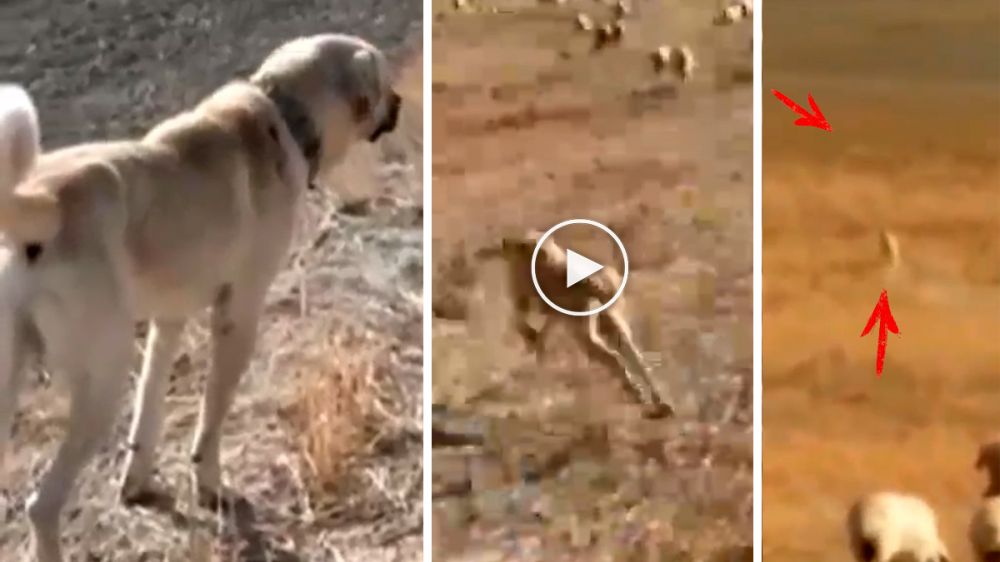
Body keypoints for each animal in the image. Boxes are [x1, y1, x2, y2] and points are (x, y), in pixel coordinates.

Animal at [0, 32, 402, 560]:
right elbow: (212, 418)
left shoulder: (166, 324)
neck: (284, 114)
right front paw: (210, 486)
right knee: (41, 507)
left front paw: (138, 483)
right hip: (102, 380)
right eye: (384, 81)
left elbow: (147, 415)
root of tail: (41, 202)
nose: (400, 102)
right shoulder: (238, 315)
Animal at [474, 230, 672, 418]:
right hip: (609, 317)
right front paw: (535, 344)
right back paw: (659, 402)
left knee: (612, 356)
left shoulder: (526, 295)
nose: (498, 246)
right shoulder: (552, 312)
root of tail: (595, 284)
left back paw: (637, 394)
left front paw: (532, 339)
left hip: (583, 327)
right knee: (633, 354)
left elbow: (521, 321)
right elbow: (539, 333)